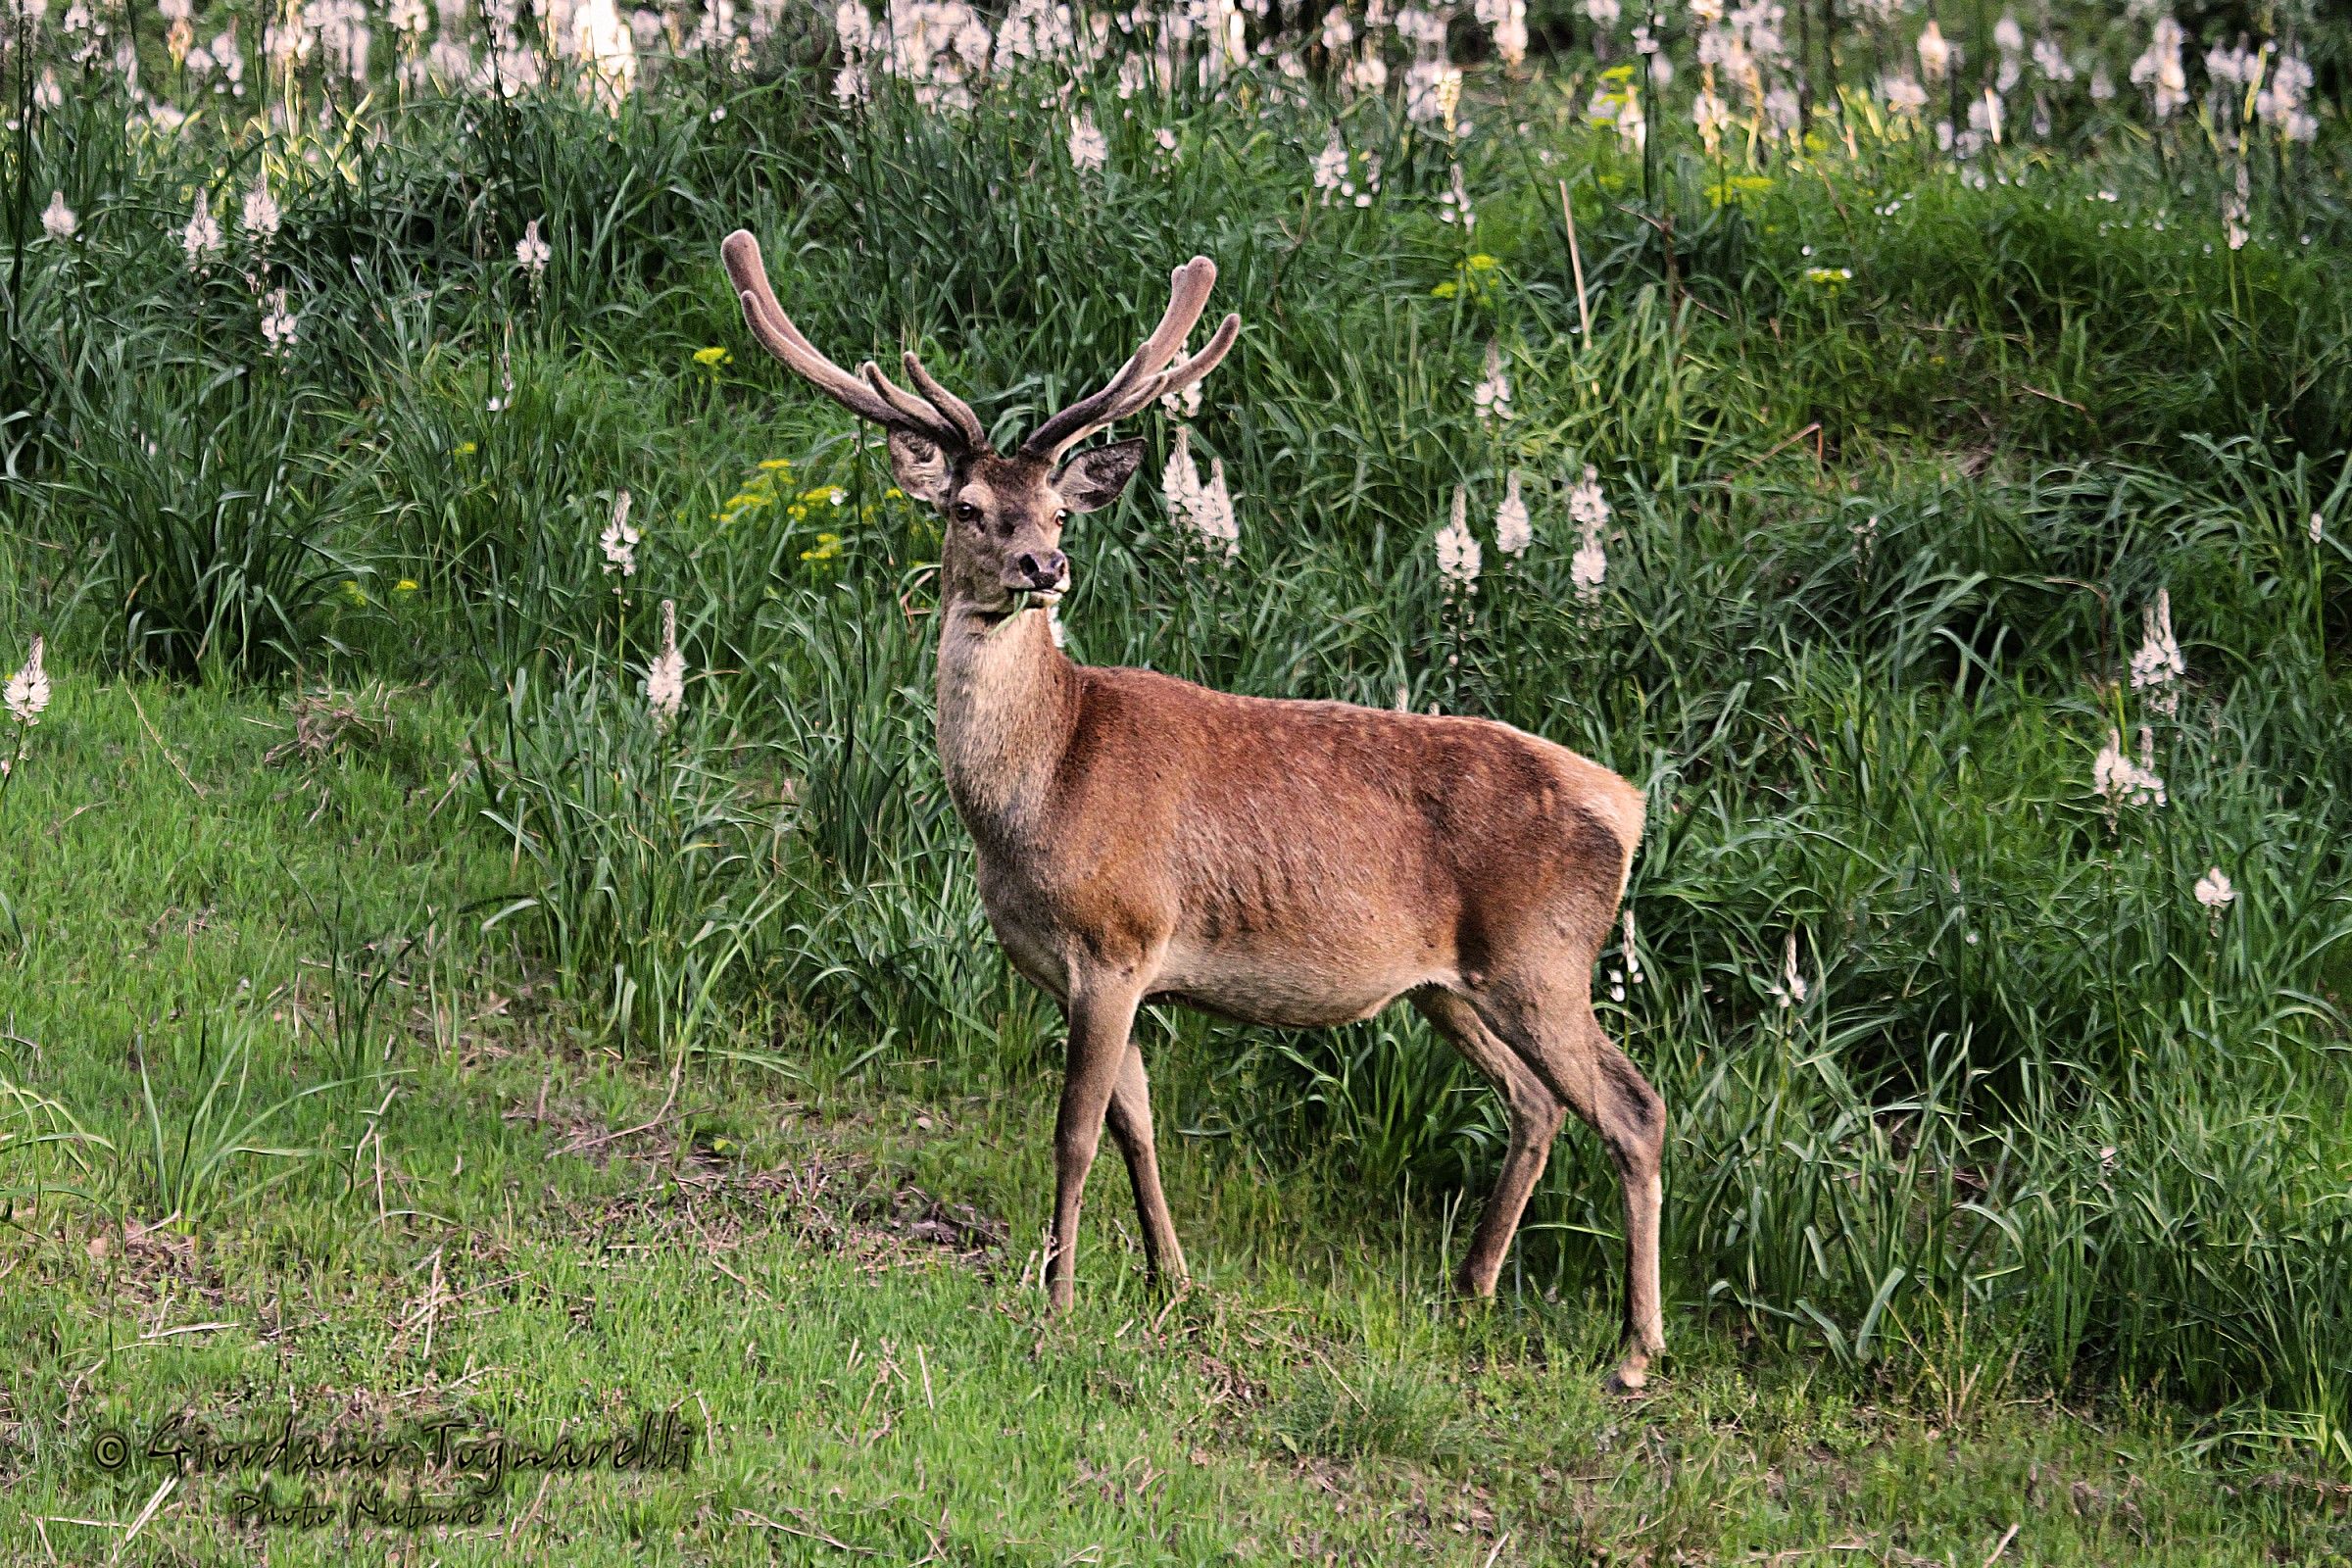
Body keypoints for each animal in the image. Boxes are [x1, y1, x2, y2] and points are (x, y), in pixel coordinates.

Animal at [720, 231, 1667, 1390]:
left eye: (1059, 510)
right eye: (967, 508)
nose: (1044, 565)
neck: (1038, 790)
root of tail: (1626, 804)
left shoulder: (1119, 939)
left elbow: (1076, 1130)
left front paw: (1056, 1296)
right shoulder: (1087, 966)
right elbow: (1138, 1127)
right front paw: (1170, 1281)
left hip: (1544, 958)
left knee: (1633, 1108)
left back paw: (1633, 1352)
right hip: (1450, 984)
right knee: (1534, 1103)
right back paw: (1473, 1289)